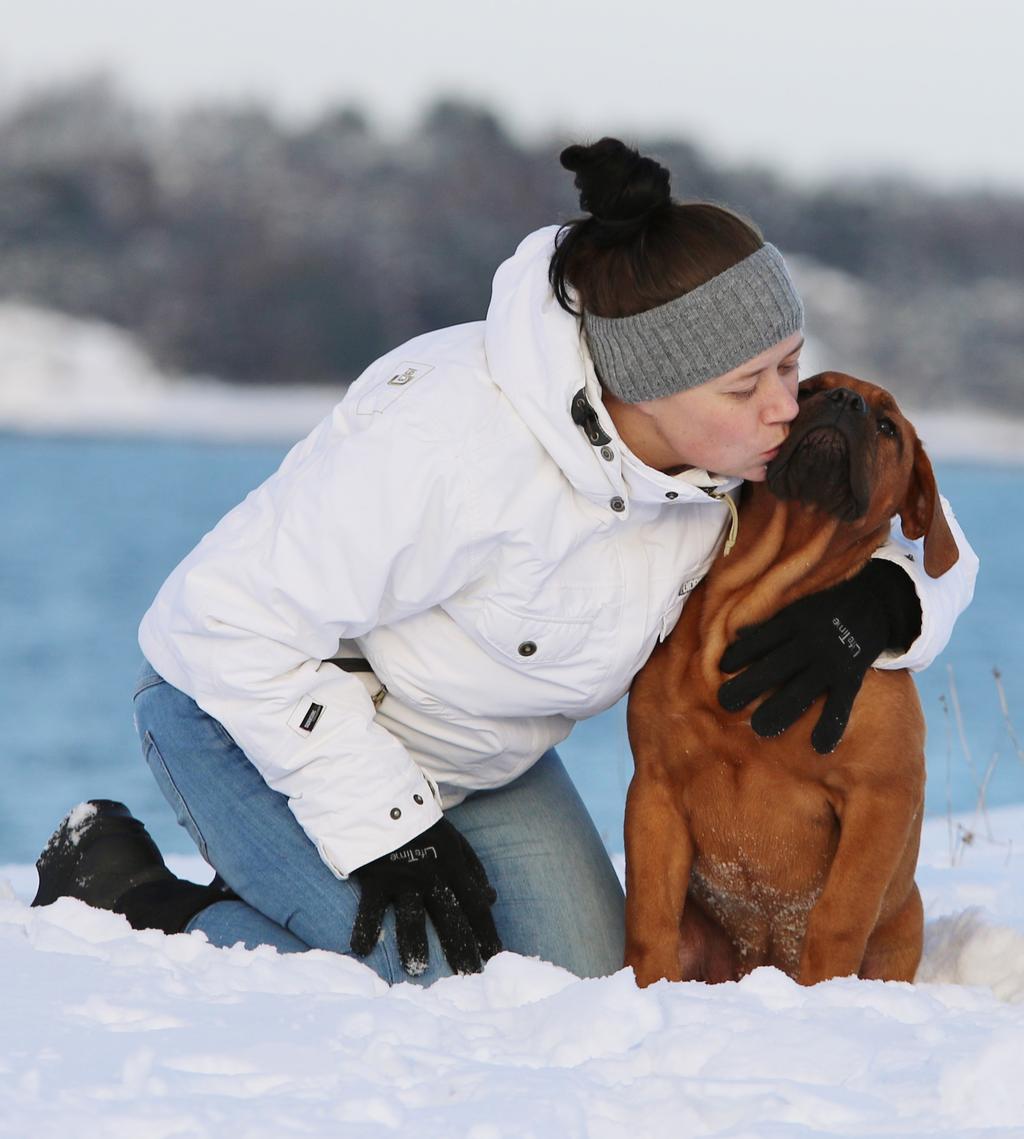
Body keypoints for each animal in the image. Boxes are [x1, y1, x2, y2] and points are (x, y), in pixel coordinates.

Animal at [624, 373, 961, 988]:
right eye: (810, 389)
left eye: (888, 427)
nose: (845, 401)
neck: (763, 600)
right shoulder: (655, 786)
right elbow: (649, 918)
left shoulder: (881, 795)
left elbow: (838, 918)